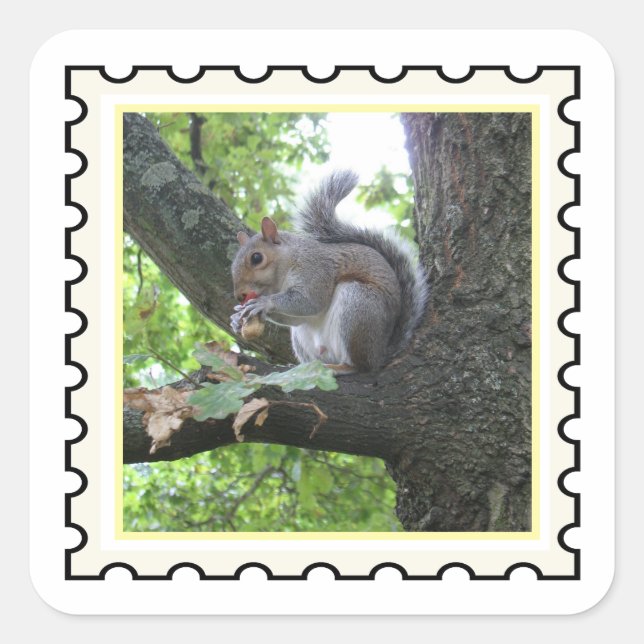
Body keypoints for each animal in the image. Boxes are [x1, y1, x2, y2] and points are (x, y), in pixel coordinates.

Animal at [230, 169, 428, 372]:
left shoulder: (315, 270)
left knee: (361, 366)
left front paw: (264, 303)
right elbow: (297, 318)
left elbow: (311, 301)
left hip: (359, 305)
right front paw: (237, 319)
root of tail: (379, 354)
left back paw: (343, 368)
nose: (240, 295)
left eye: (256, 258)